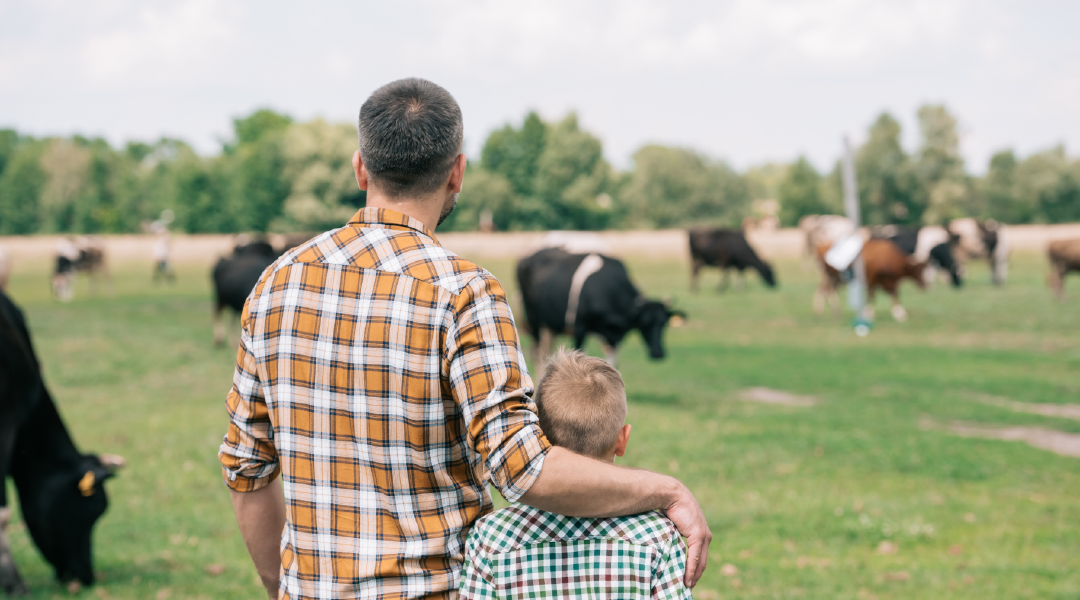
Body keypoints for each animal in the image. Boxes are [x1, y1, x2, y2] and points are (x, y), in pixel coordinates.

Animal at [516, 246, 682, 377]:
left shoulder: (614, 337)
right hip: (533, 319)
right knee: (536, 353)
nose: (658, 353)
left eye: (664, 323)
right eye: (645, 322)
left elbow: (612, 364)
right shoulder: (580, 327)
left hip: (549, 326)